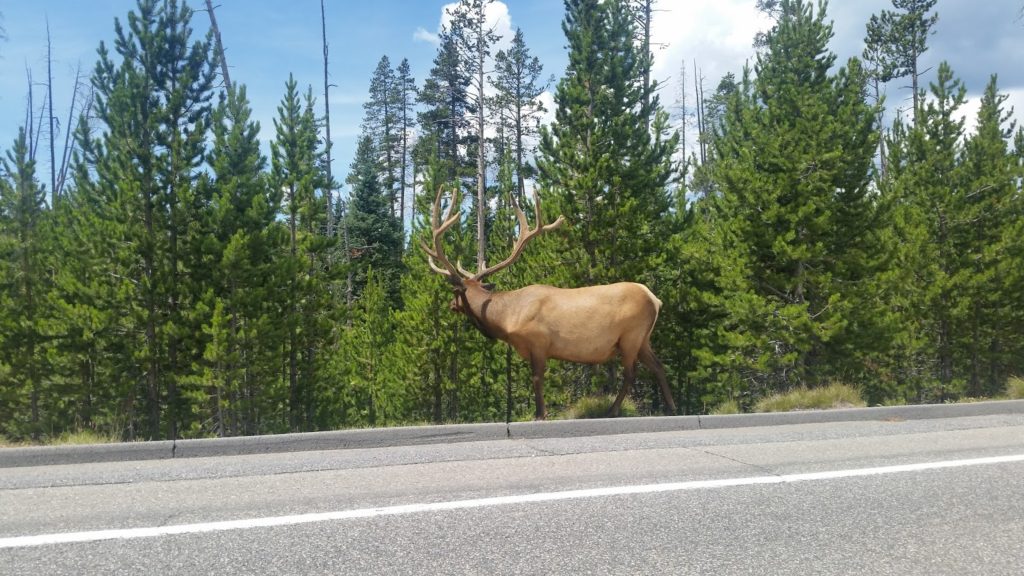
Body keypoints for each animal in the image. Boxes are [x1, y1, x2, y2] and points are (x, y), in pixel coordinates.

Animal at [419, 187, 675, 416]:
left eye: (454, 294)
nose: (451, 305)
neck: (506, 318)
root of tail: (655, 299)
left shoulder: (538, 342)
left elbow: (536, 380)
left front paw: (540, 414)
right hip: (643, 339)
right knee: (658, 366)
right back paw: (671, 407)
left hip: (630, 336)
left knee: (631, 374)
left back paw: (612, 410)